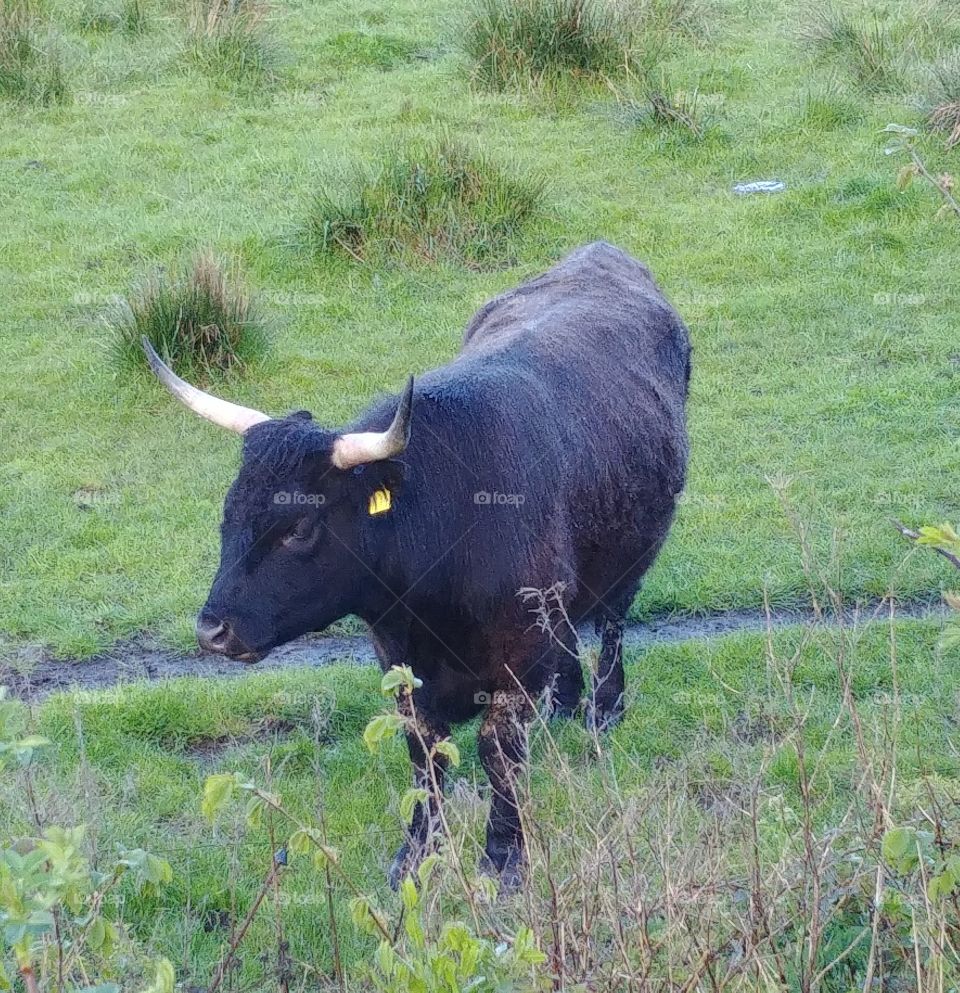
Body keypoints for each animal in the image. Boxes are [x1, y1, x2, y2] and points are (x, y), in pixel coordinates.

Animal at [144, 241, 691, 889]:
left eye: (298, 527)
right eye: (228, 512)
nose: (212, 631)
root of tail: (602, 254)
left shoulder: (517, 657)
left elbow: (498, 753)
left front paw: (503, 859)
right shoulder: (401, 663)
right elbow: (424, 755)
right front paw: (416, 854)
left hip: (632, 559)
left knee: (611, 621)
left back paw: (604, 708)